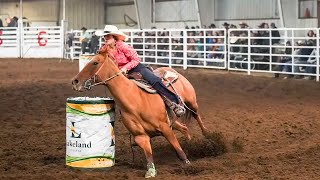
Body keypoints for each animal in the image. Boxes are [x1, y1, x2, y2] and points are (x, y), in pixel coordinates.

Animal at [71, 53, 209, 177]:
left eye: (95, 62)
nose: (75, 81)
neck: (136, 99)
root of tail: (171, 70)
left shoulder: (165, 128)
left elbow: (177, 148)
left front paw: (187, 163)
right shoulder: (141, 136)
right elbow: (148, 154)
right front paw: (151, 171)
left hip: (191, 102)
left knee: (196, 115)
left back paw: (207, 135)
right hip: (172, 121)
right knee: (184, 128)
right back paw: (190, 144)